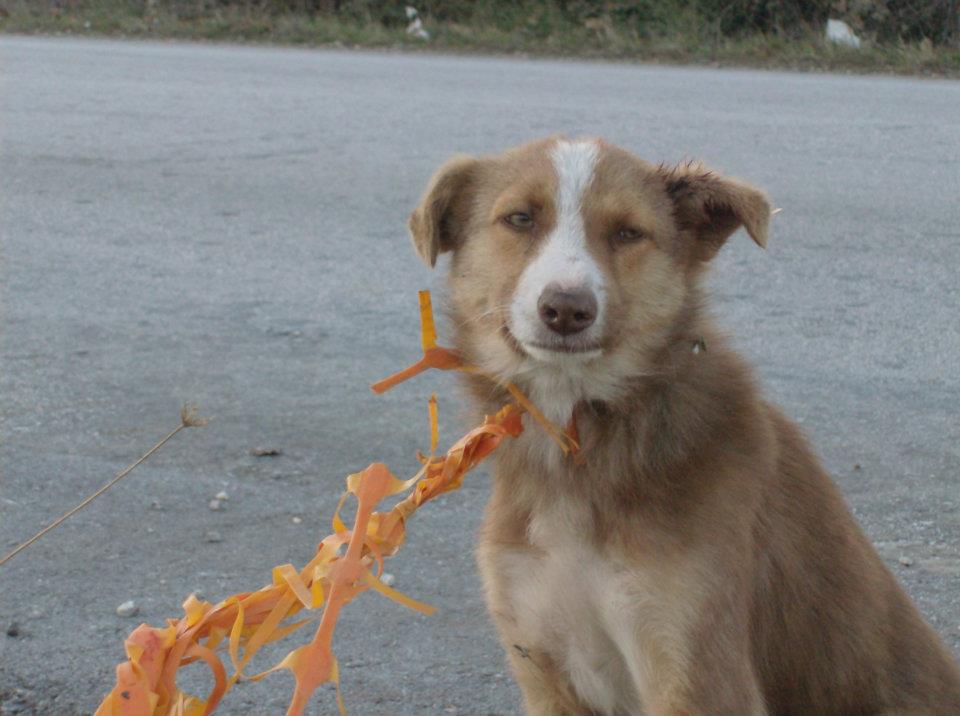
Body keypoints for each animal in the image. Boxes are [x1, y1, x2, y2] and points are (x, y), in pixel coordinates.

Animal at [406, 136, 960, 716]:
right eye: (519, 218)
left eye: (628, 232)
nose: (566, 309)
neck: (583, 450)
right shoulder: (543, 667)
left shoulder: (699, 669)